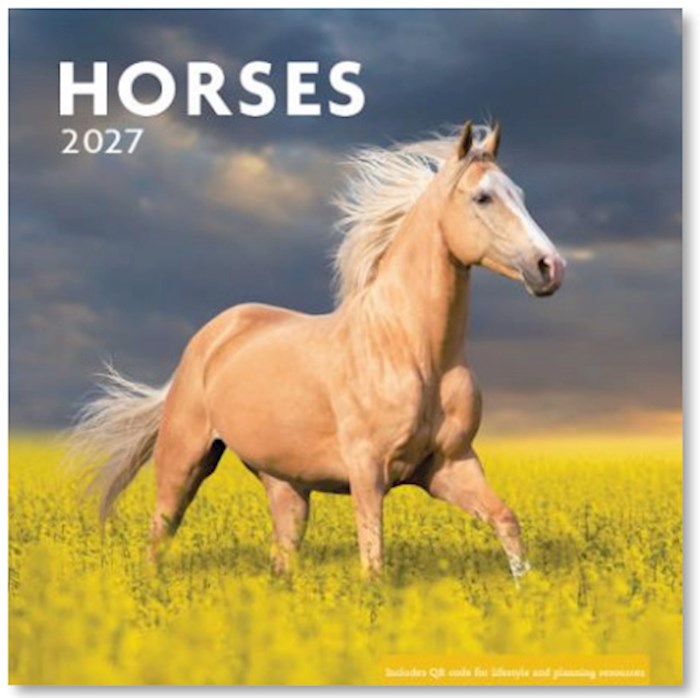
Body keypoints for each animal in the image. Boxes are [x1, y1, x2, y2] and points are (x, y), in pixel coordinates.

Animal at [72, 120, 566, 579]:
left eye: (520, 194)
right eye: (482, 198)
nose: (550, 267)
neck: (413, 351)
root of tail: (209, 339)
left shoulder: (450, 465)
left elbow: (507, 522)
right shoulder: (368, 471)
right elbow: (373, 563)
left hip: (285, 484)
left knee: (282, 556)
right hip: (184, 461)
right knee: (160, 534)